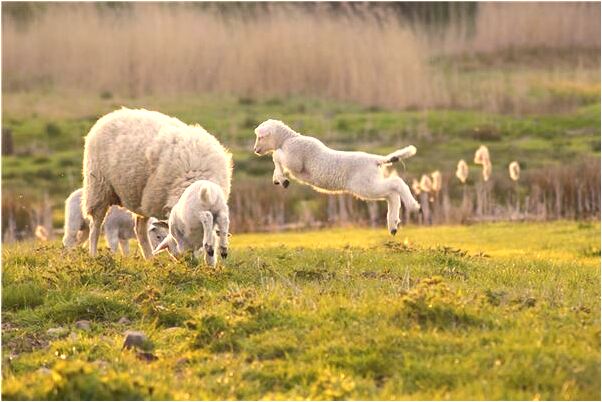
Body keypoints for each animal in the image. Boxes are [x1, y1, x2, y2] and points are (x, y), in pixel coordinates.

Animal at [79, 108, 230, 262]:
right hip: (98, 187)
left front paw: (211, 262)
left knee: (139, 229)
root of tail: (111, 115)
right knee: (95, 225)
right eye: (178, 233)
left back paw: (150, 259)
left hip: (140, 197)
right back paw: (93, 254)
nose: (184, 259)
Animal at [252, 118, 418, 234]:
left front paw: (281, 178)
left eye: (260, 137)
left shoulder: (295, 160)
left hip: (366, 185)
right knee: (392, 195)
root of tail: (376, 160)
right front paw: (279, 179)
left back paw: (413, 206)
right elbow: (277, 160)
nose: (255, 150)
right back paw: (393, 225)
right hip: (370, 184)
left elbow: (276, 155)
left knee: (396, 184)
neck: (288, 139)